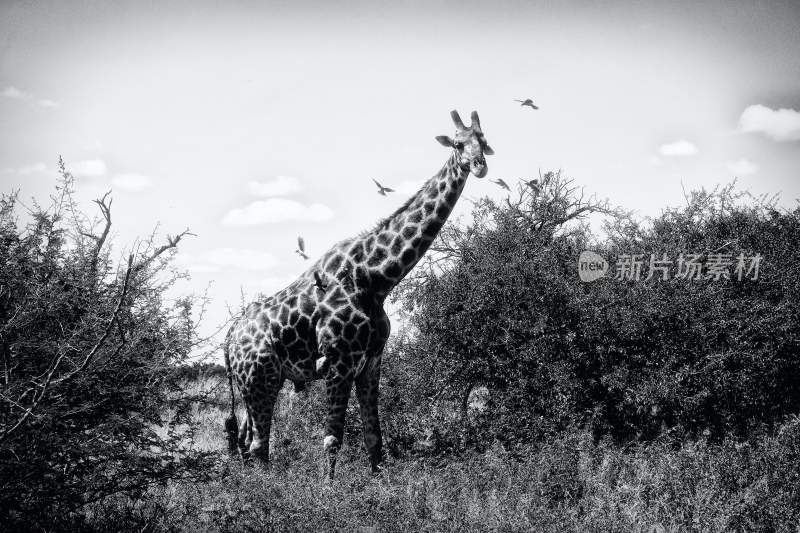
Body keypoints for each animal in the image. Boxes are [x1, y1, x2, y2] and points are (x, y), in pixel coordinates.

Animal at [222, 109, 490, 478]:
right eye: (458, 143)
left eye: (485, 141)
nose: (479, 166)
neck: (376, 278)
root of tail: (230, 338)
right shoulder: (339, 360)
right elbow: (332, 439)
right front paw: (326, 491)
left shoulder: (371, 361)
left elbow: (373, 436)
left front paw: (380, 485)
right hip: (260, 378)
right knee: (258, 446)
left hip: (255, 383)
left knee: (246, 443)